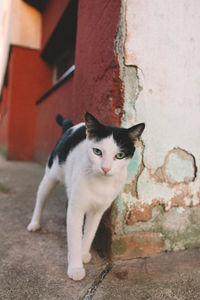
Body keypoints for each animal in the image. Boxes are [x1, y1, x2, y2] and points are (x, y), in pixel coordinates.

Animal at [27, 112, 145, 282]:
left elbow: (89, 233)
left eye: (120, 155)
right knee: (41, 198)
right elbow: (75, 239)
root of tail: (70, 127)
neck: (102, 183)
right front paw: (76, 268)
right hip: (51, 176)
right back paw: (34, 223)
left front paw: (83, 254)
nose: (105, 168)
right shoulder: (75, 210)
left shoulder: (97, 212)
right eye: (97, 152)